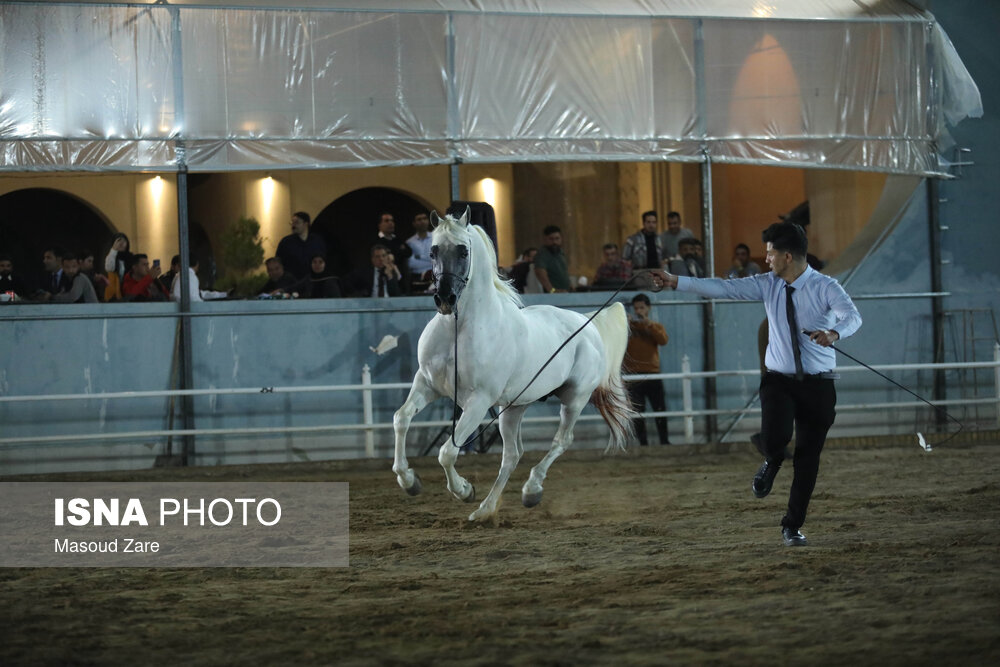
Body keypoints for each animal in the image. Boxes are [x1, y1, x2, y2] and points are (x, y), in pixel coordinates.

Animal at [390, 209, 632, 520]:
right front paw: (409, 481)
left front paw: (464, 490)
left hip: (574, 399)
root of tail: (587, 324)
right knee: (512, 455)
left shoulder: (479, 401)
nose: (444, 299)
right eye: (432, 251)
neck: (460, 330)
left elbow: (447, 452)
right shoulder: (427, 384)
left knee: (561, 441)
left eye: (463, 250)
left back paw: (530, 491)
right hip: (514, 408)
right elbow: (401, 418)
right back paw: (485, 510)